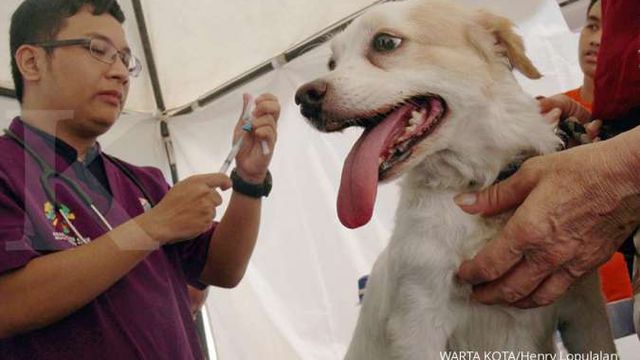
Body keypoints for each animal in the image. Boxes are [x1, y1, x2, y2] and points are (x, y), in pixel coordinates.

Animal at [298, 1, 616, 358]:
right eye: (332, 63)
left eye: (385, 42)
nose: (303, 98)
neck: (474, 181)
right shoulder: (417, 323)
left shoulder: (584, 306)